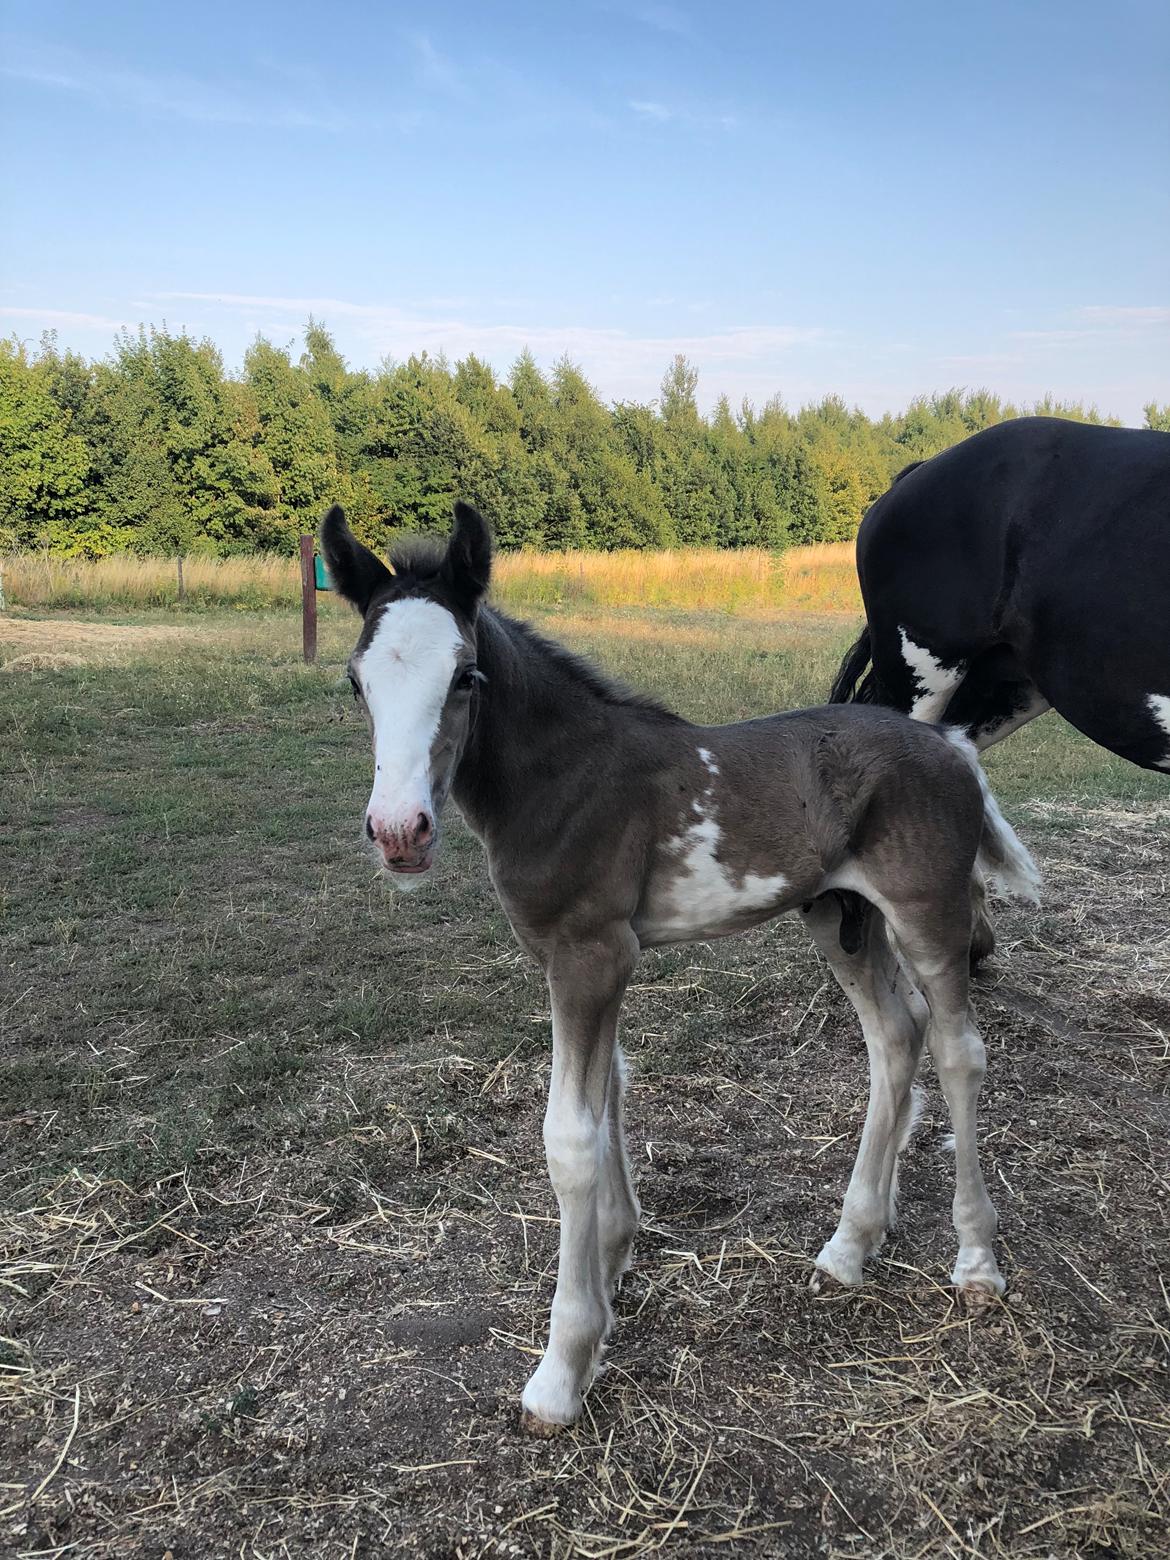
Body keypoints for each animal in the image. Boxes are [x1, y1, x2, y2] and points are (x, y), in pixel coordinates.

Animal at [322, 505, 1042, 1428]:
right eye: (356, 681)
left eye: (466, 676)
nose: (399, 832)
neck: (567, 779)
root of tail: (951, 743)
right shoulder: (583, 959)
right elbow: (611, 1096)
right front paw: (614, 1264)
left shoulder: (592, 954)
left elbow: (570, 1138)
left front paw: (564, 1365)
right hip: (839, 918)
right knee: (895, 1035)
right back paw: (851, 1245)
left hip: (928, 913)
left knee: (958, 1052)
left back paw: (976, 1262)